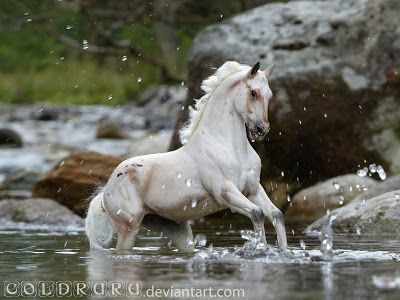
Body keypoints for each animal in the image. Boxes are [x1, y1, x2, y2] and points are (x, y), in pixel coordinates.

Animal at [86, 62, 288, 252]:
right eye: (253, 93)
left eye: (270, 95)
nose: (261, 129)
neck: (230, 148)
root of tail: (106, 190)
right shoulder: (226, 192)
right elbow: (257, 213)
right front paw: (261, 250)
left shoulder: (253, 189)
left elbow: (276, 215)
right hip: (129, 228)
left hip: (178, 231)